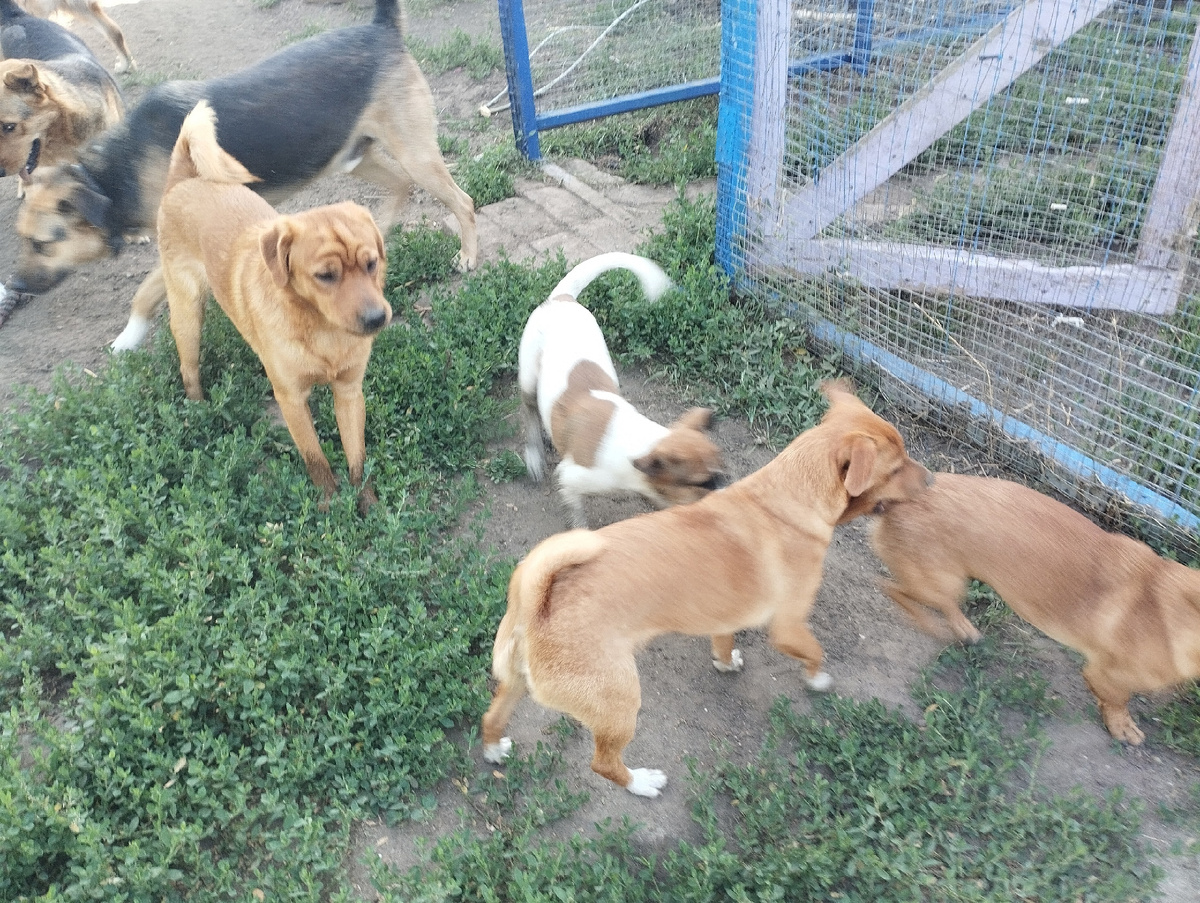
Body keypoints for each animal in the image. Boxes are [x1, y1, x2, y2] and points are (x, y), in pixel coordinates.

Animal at [157, 101, 391, 515]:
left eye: (371, 263)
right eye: (325, 275)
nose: (377, 319)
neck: (322, 329)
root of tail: (182, 180)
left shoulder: (349, 392)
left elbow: (357, 459)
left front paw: (367, 505)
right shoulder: (291, 401)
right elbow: (316, 460)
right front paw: (329, 508)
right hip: (187, 315)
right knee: (188, 369)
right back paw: (199, 411)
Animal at [481, 381, 934, 796]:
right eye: (895, 469)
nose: (931, 479)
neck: (789, 496)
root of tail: (537, 603)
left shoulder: (724, 617)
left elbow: (723, 643)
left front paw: (727, 663)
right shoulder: (789, 626)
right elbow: (815, 652)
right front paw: (818, 681)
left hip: (515, 684)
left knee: (491, 717)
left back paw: (493, 749)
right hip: (620, 704)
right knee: (604, 764)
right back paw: (641, 783)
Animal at [519, 252, 726, 527]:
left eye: (722, 473)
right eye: (702, 484)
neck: (640, 442)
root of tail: (561, 298)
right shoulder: (571, 478)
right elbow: (577, 513)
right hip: (528, 380)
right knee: (530, 412)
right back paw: (534, 455)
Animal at [870, 472, 1200, 746]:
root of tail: (893, 500)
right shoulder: (1106, 675)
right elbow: (1118, 702)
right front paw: (1121, 726)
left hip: (950, 584)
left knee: (936, 602)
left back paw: (965, 630)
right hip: (940, 584)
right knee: (890, 588)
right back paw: (934, 625)